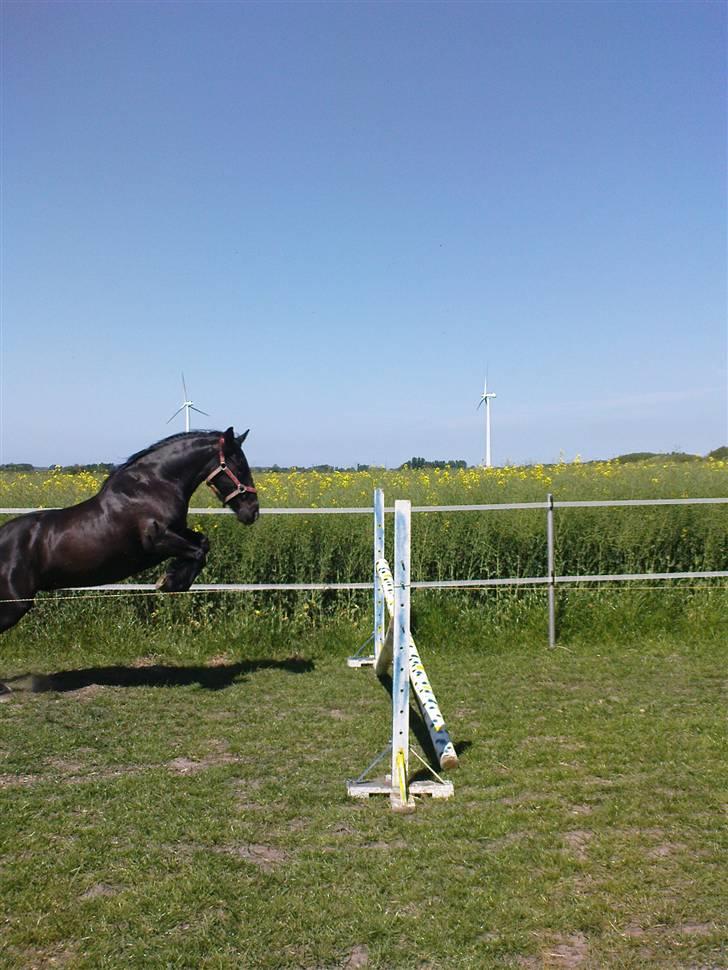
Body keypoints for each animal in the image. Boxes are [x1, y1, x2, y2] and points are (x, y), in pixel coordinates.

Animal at [0, 427, 259, 640]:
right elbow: (197, 552)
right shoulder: (157, 541)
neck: (151, 486)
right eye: (238, 465)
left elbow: (203, 543)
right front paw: (170, 582)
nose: (252, 512)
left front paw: (172, 577)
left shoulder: (177, 532)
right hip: (14, 604)